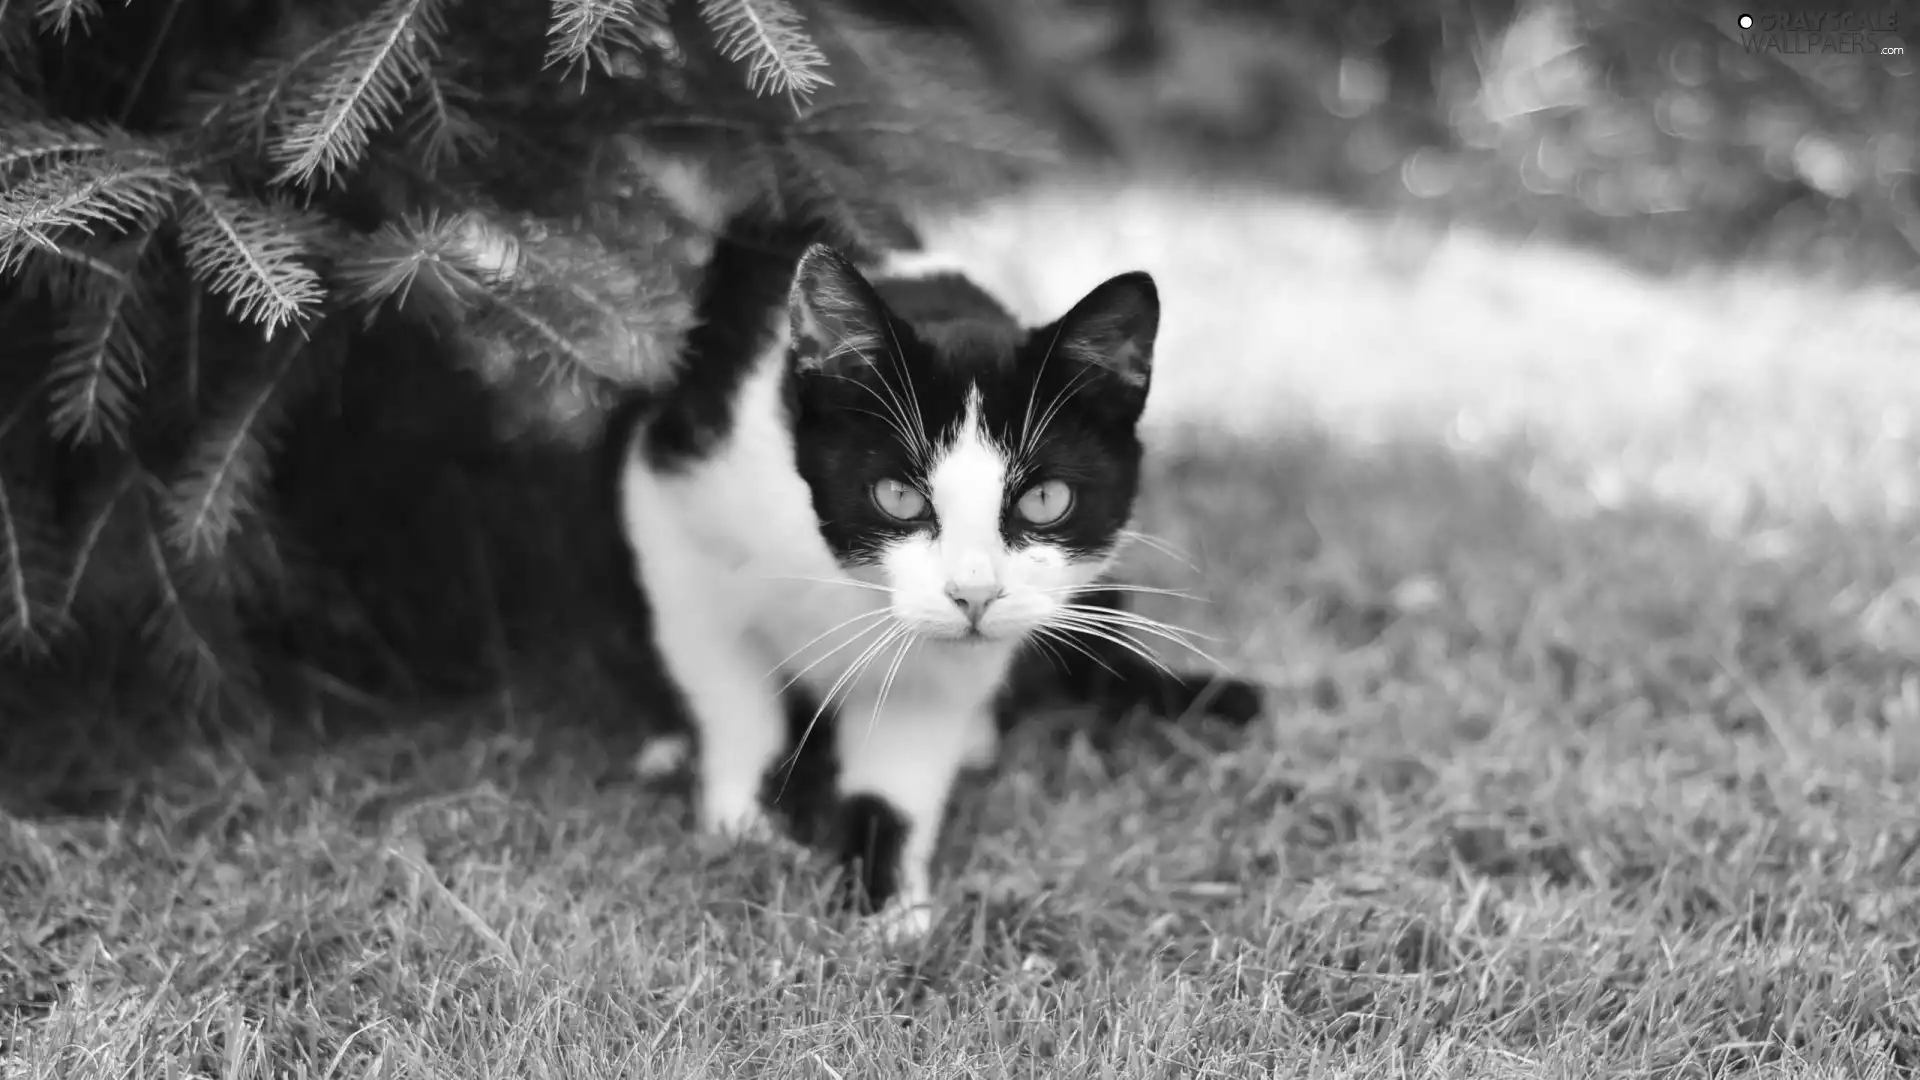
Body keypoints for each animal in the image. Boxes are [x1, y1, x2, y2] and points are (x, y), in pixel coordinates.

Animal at [602, 182, 1259, 933]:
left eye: (1046, 500)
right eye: (897, 496)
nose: (974, 594)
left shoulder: (938, 672)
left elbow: (900, 764)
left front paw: (886, 906)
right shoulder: (677, 503)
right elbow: (733, 693)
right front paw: (744, 827)